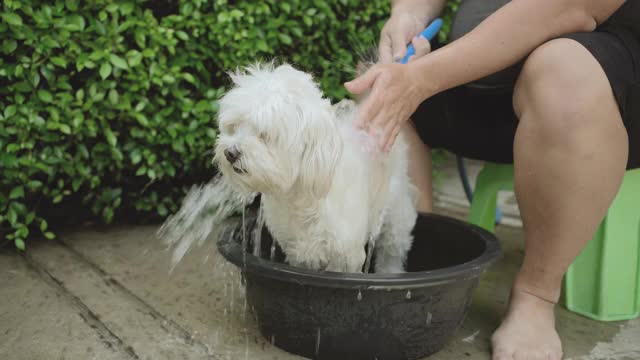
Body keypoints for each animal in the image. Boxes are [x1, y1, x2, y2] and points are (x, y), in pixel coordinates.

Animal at [212, 64, 418, 272]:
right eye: (234, 127)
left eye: (264, 135)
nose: (230, 152)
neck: (300, 198)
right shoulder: (298, 251)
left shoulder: (346, 255)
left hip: (396, 211)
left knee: (393, 249)